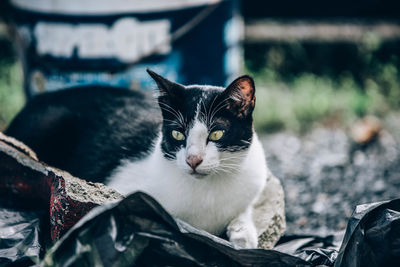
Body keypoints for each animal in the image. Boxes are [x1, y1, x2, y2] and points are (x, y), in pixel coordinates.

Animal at [4, 69, 268, 249]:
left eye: (216, 133)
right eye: (177, 134)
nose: (193, 160)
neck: (207, 191)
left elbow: (242, 210)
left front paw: (243, 234)